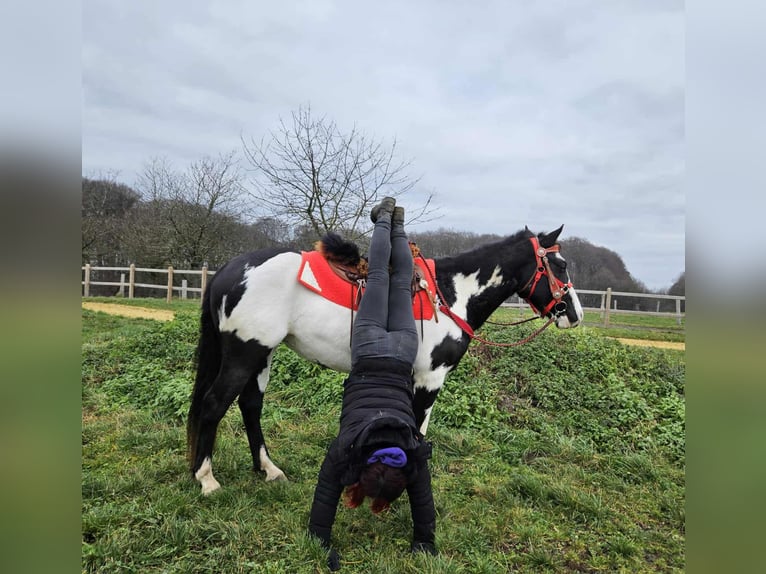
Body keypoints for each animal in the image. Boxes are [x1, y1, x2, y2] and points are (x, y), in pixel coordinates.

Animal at [187, 224, 583, 494]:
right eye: (561, 264)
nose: (575, 314)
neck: (450, 295)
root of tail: (231, 269)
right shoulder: (429, 378)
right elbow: (418, 433)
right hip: (244, 352)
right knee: (214, 405)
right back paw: (206, 479)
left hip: (262, 354)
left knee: (250, 405)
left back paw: (268, 470)